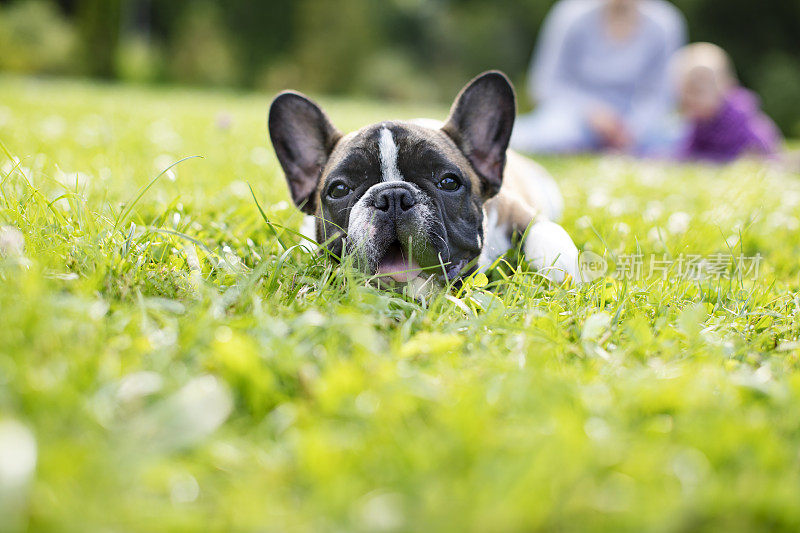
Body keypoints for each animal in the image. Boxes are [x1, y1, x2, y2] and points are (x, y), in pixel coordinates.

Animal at [268, 71, 580, 286]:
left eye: (449, 183)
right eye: (339, 189)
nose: (392, 196)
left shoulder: (515, 212)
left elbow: (548, 233)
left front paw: (564, 277)